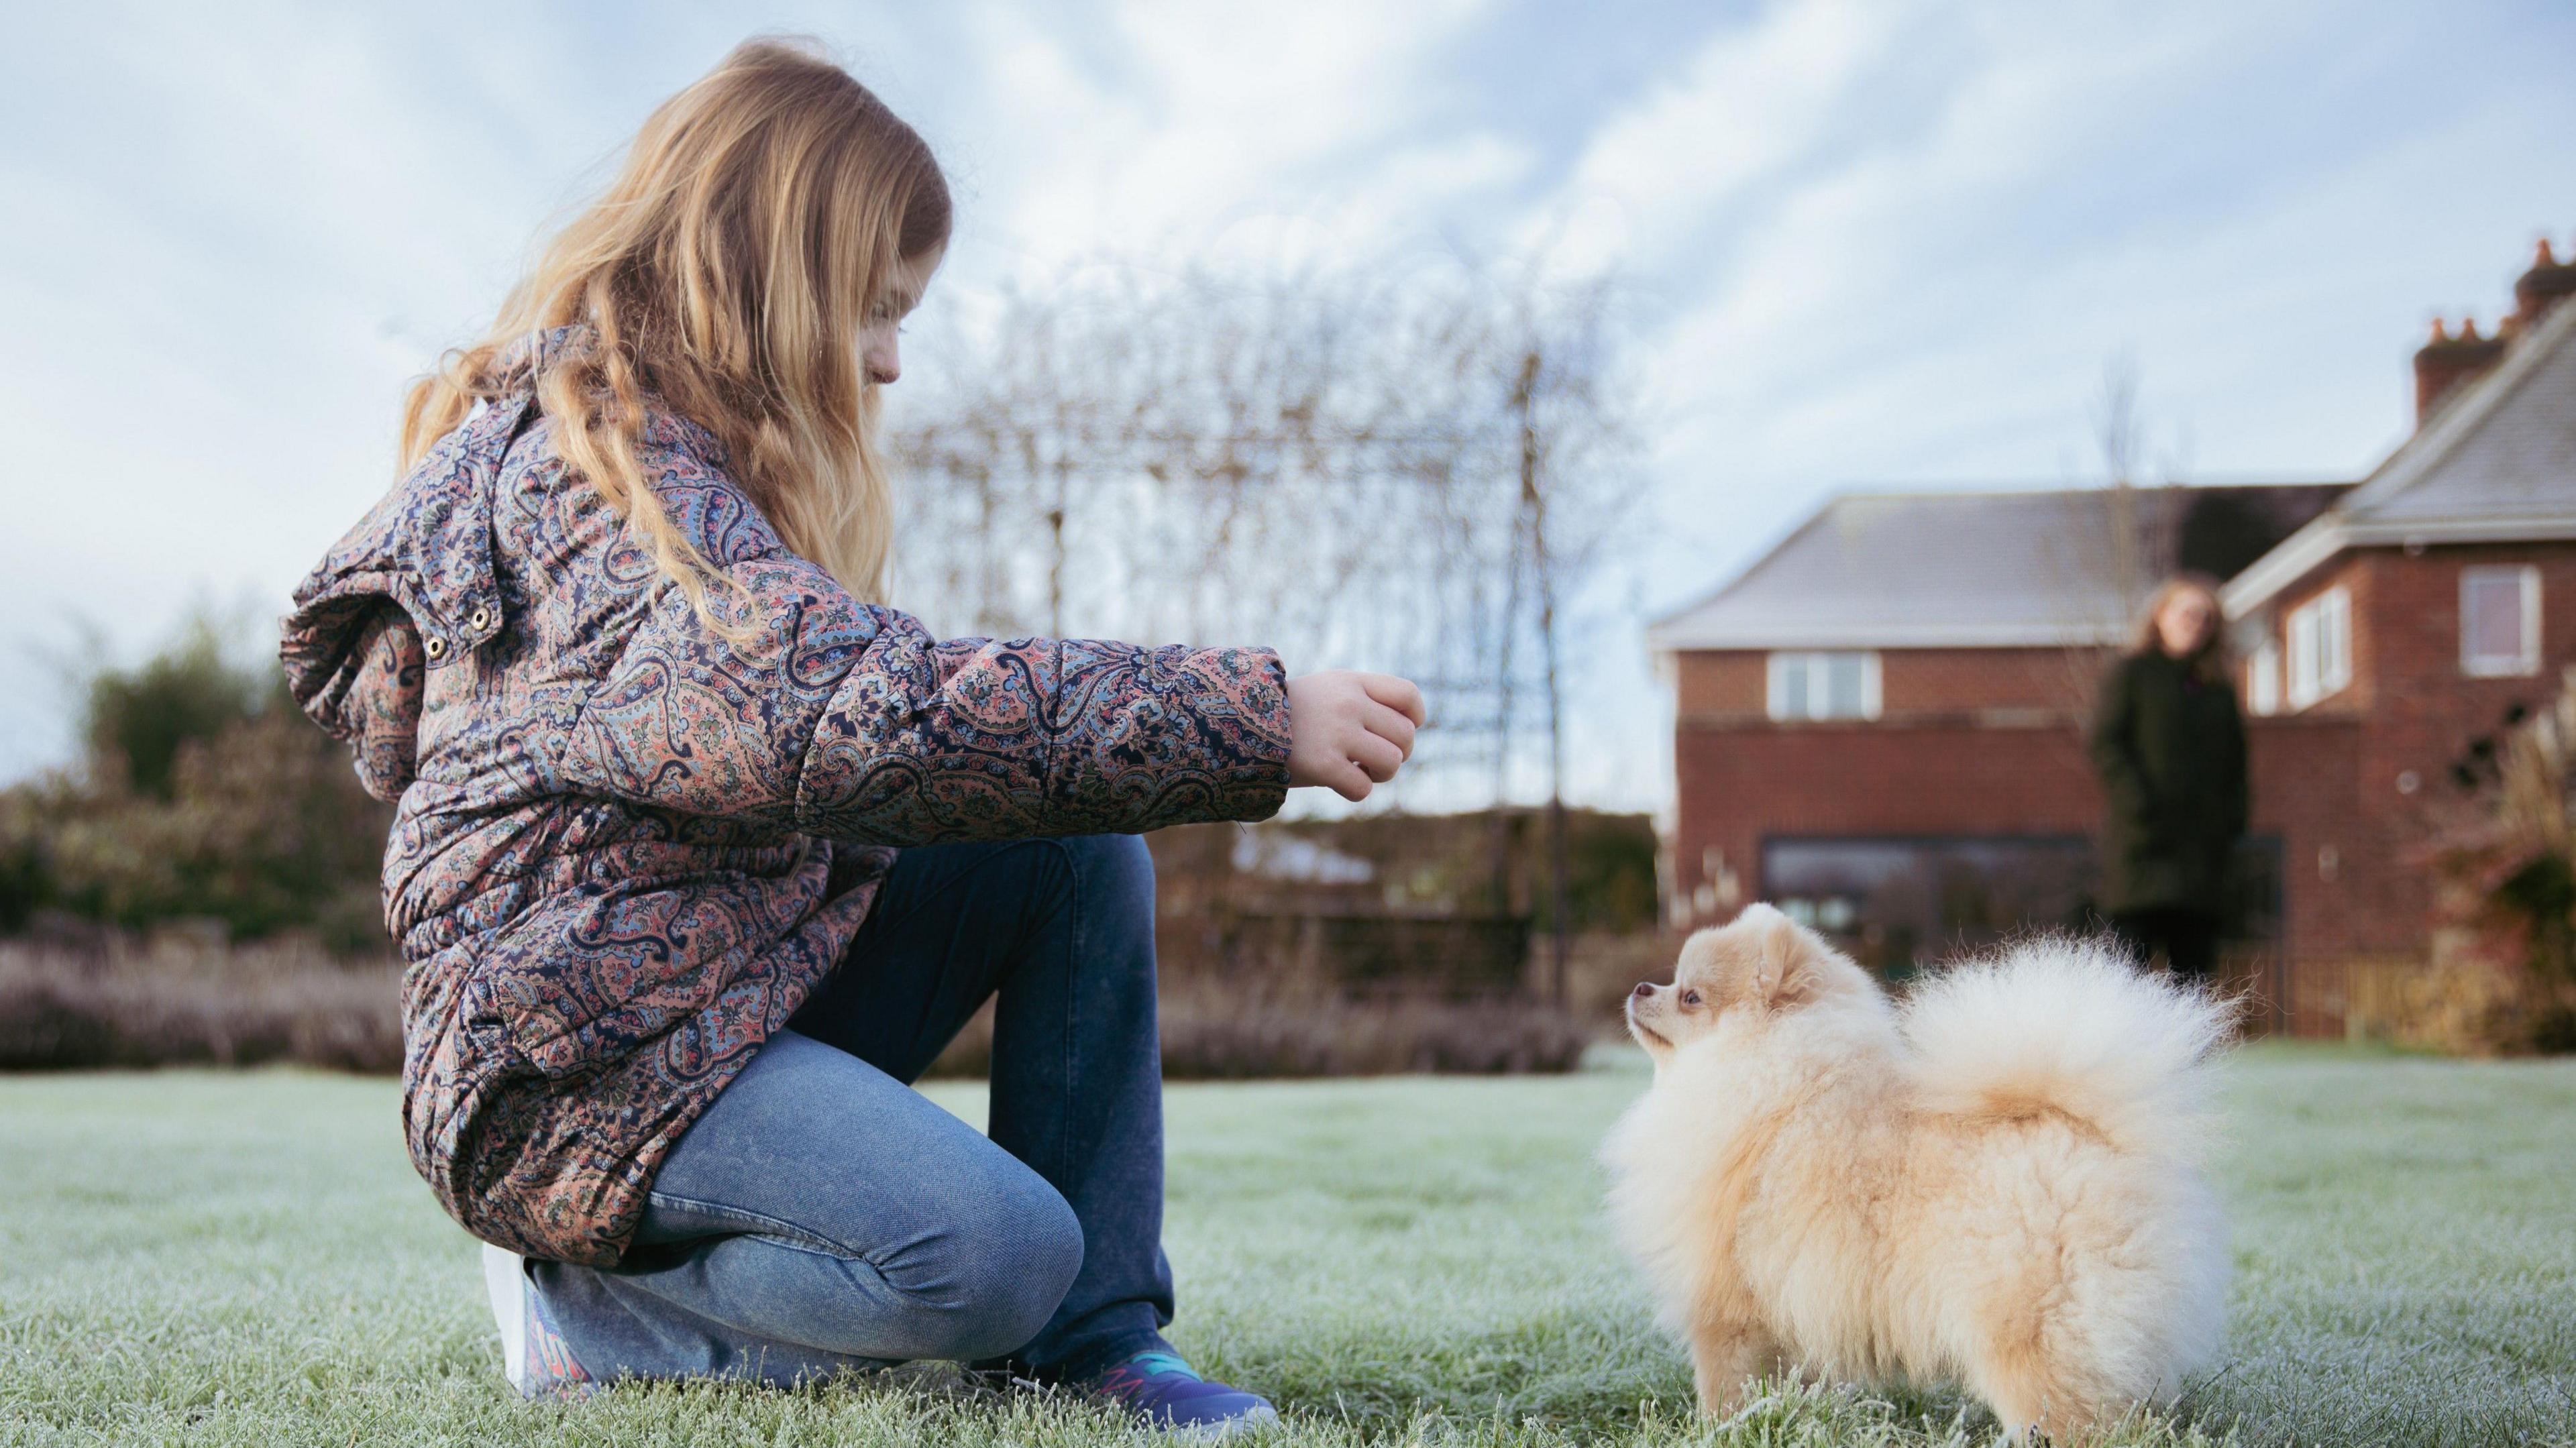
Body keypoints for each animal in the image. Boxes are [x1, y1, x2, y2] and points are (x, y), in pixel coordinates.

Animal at [1607, 901, 2236, 1432]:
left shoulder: (1727, 1310)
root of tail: (2095, 1140)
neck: (1766, 1074)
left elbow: (1723, 1387)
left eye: (1691, 996)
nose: (1640, 986)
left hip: (2026, 1332)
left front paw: (1716, 1430)